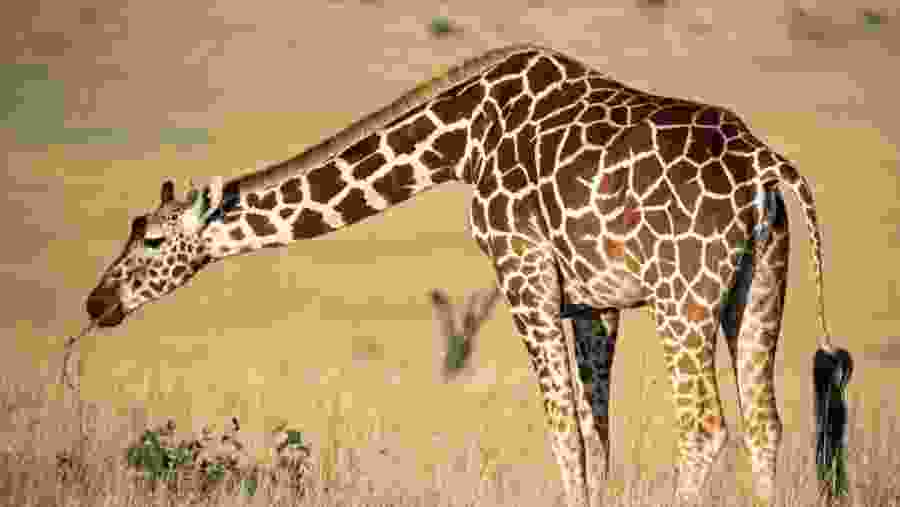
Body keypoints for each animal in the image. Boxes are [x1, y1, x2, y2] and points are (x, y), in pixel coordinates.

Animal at [84, 44, 853, 506]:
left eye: (152, 239)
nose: (97, 301)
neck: (460, 140)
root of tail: (766, 166)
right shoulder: (594, 302)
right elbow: (595, 432)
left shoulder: (522, 270)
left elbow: (563, 430)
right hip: (758, 284)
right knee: (765, 421)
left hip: (682, 296)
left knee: (705, 425)